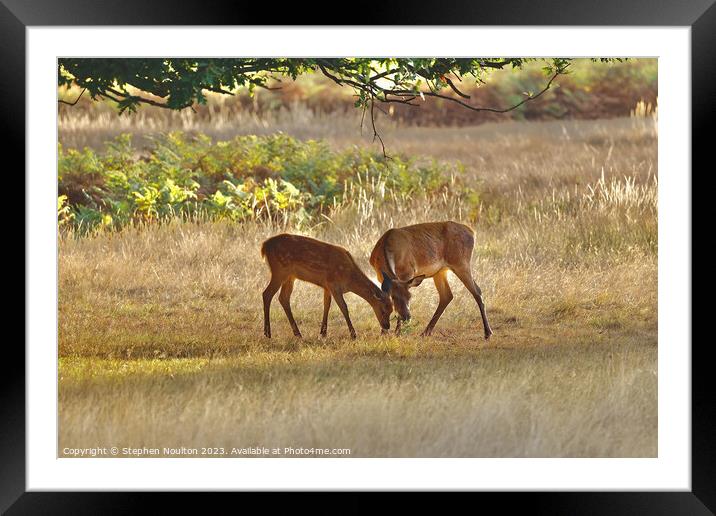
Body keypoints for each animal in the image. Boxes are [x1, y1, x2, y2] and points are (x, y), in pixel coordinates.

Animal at [260, 234, 392, 338]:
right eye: (383, 310)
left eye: (391, 310)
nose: (387, 326)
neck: (349, 279)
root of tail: (264, 246)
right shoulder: (334, 285)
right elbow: (344, 308)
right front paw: (353, 334)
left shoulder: (327, 286)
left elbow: (326, 305)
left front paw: (323, 332)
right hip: (280, 271)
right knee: (267, 294)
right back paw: (267, 333)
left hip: (290, 276)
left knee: (283, 298)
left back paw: (298, 333)